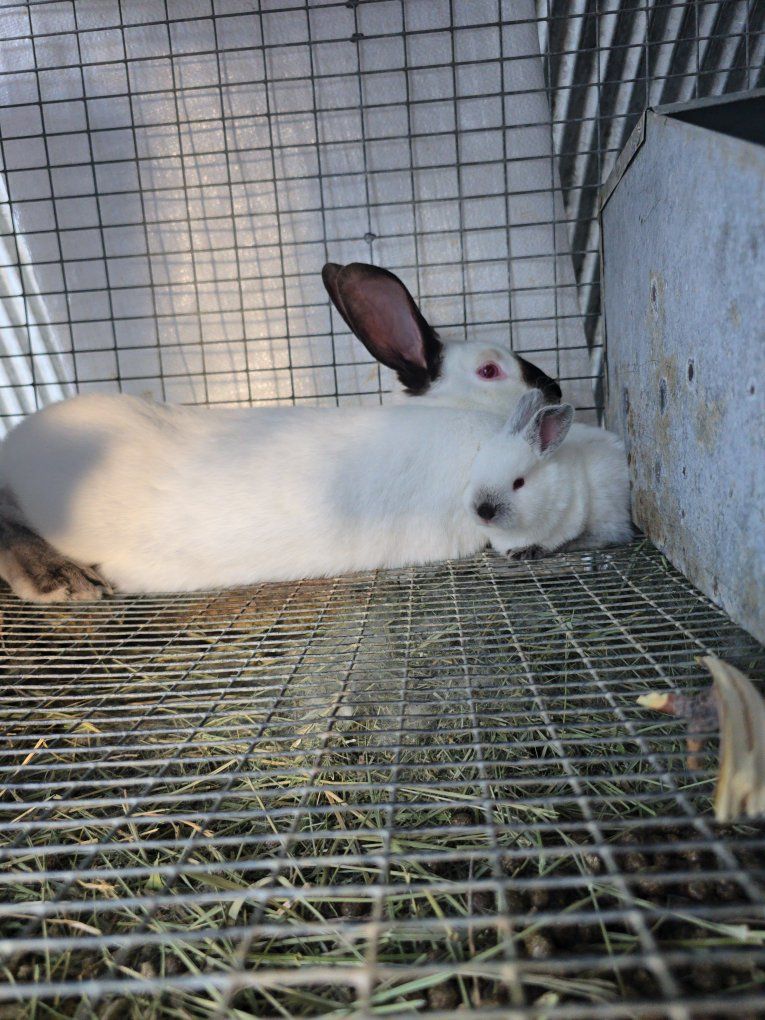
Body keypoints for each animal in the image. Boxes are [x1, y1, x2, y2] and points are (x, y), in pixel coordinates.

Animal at [466, 390, 633, 560]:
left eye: (519, 482)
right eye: (475, 473)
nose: (484, 511)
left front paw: (526, 551)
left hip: (606, 507)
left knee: (610, 534)